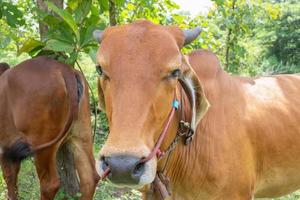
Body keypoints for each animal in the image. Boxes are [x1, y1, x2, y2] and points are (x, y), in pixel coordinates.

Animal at [0, 56, 99, 200]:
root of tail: (64, 69)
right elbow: (12, 176)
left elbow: (8, 175)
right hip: (81, 133)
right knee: (90, 178)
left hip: (42, 144)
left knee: (49, 184)